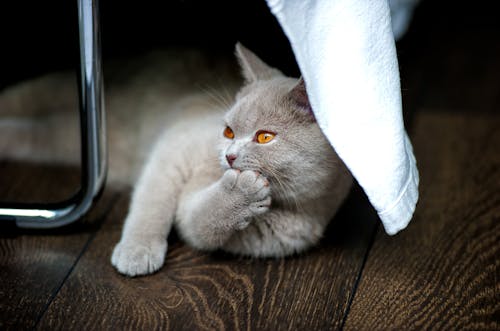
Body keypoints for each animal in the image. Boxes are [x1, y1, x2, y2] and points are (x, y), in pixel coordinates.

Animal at [110, 44, 352, 278]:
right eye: (228, 132)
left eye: (264, 137)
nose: (230, 155)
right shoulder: (174, 150)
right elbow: (153, 201)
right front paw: (137, 251)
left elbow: (199, 223)